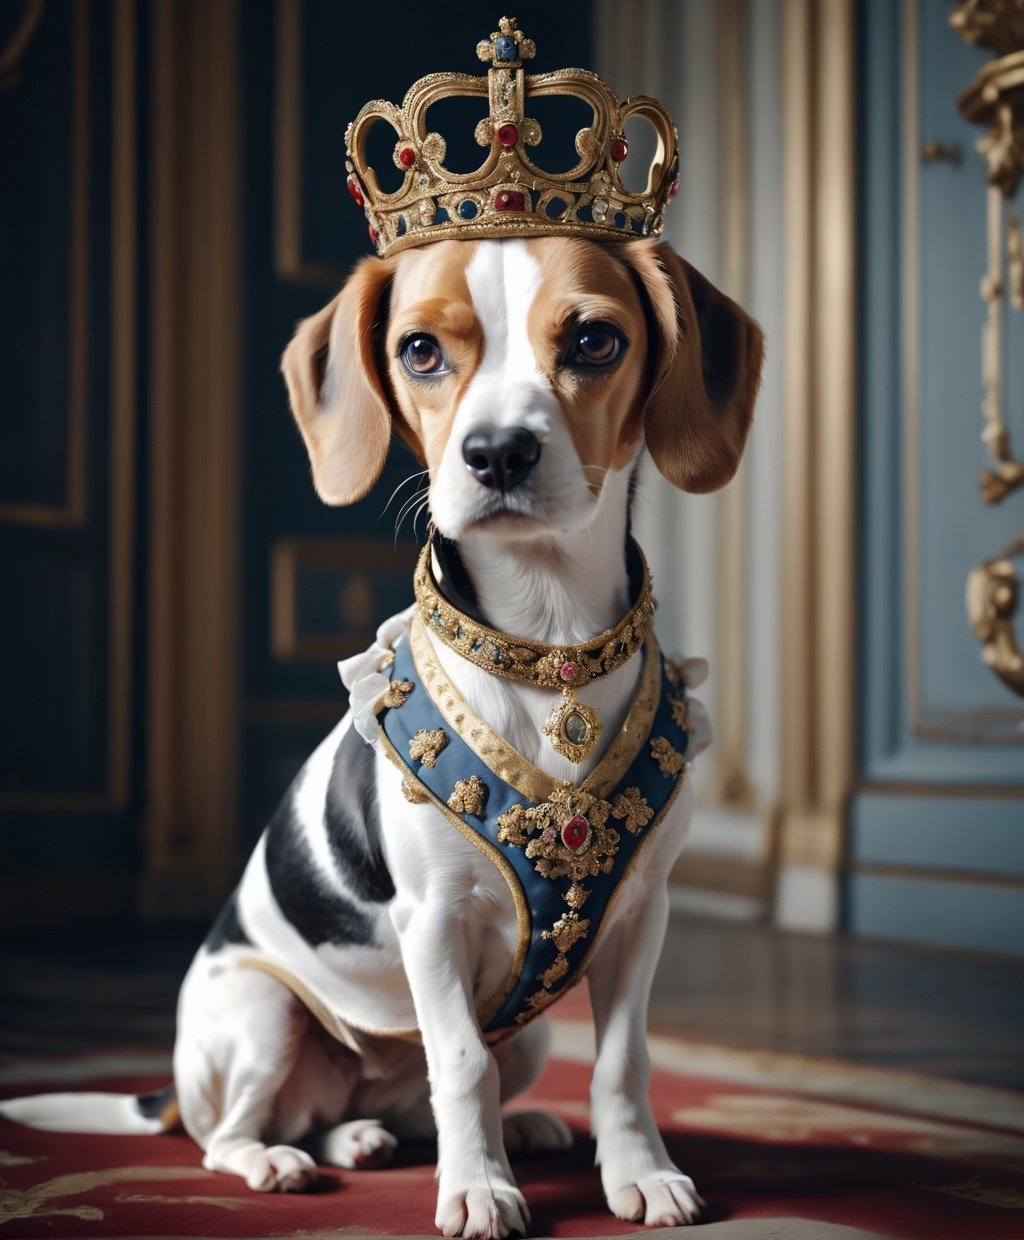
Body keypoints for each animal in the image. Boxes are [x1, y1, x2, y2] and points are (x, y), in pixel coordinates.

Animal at [1, 234, 758, 1240]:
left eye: (595, 340)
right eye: (421, 352)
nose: (497, 453)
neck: (548, 648)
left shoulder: (639, 915)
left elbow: (622, 1062)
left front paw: (637, 1169)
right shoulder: (431, 921)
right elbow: (462, 1064)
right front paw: (477, 1189)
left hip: (527, 1034)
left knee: (402, 1110)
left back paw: (437, 1134)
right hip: (263, 1010)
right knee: (235, 1134)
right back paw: (279, 1159)